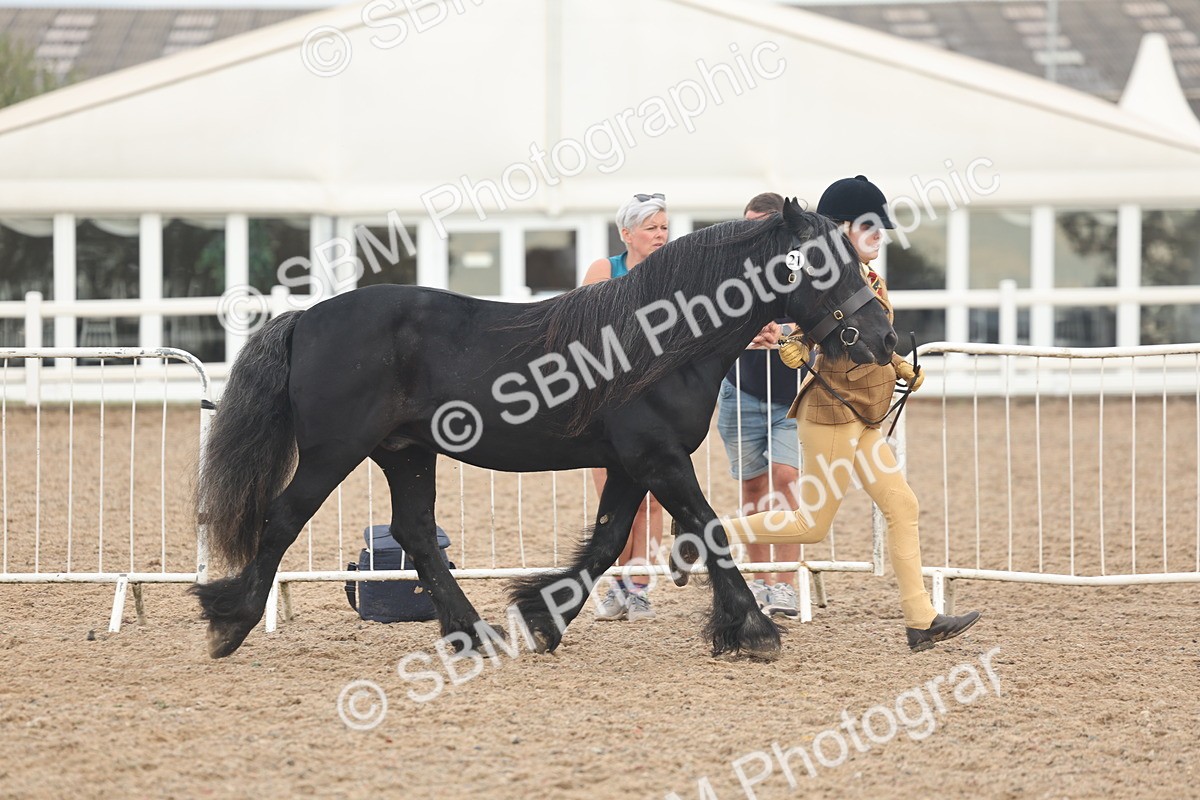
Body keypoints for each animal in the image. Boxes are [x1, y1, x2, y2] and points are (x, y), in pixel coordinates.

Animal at [192, 198, 897, 660]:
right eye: (817, 262)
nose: (885, 338)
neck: (658, 340)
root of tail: (306, 318)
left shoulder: (632, 463)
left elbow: (609, 541)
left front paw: (542, 619)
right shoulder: (659, 458)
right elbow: (707, 528)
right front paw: (752, 630)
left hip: (407, 453)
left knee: (415, 533)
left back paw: (473, 634)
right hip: (333, 452)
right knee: (283, 518)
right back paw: (230, 622)